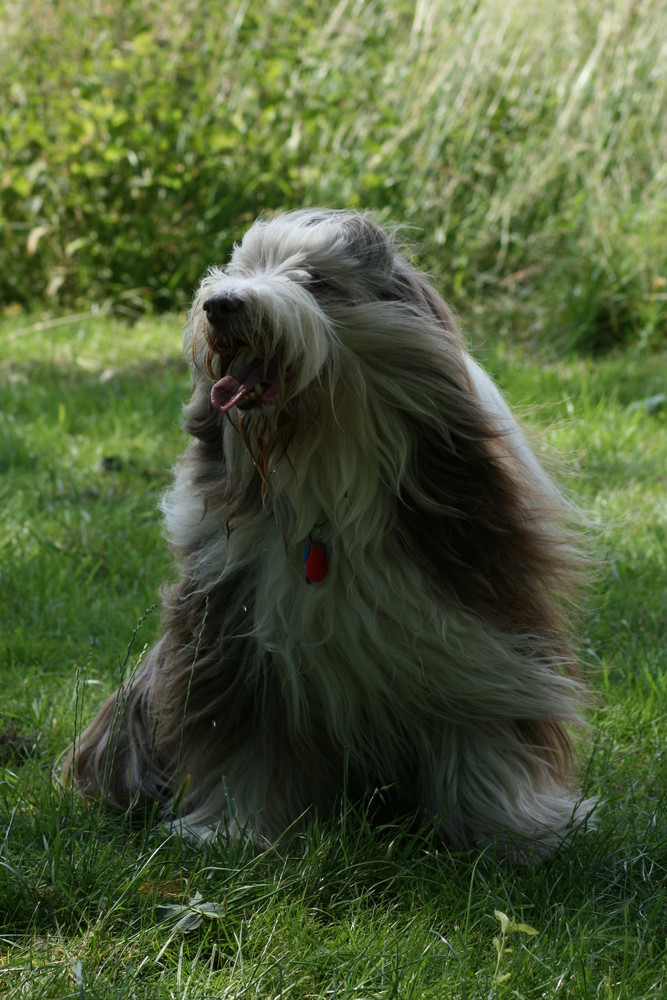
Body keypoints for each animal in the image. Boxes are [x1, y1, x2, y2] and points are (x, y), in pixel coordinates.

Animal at [62, 207, 596, 856]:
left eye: (316, 282)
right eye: (245, 267)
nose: (222, 304)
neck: (323, 481)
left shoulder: (480, 626)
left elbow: (483, 725)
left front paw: (503, 832)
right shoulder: (232, 639)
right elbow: (244, 746)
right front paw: (234, 830)